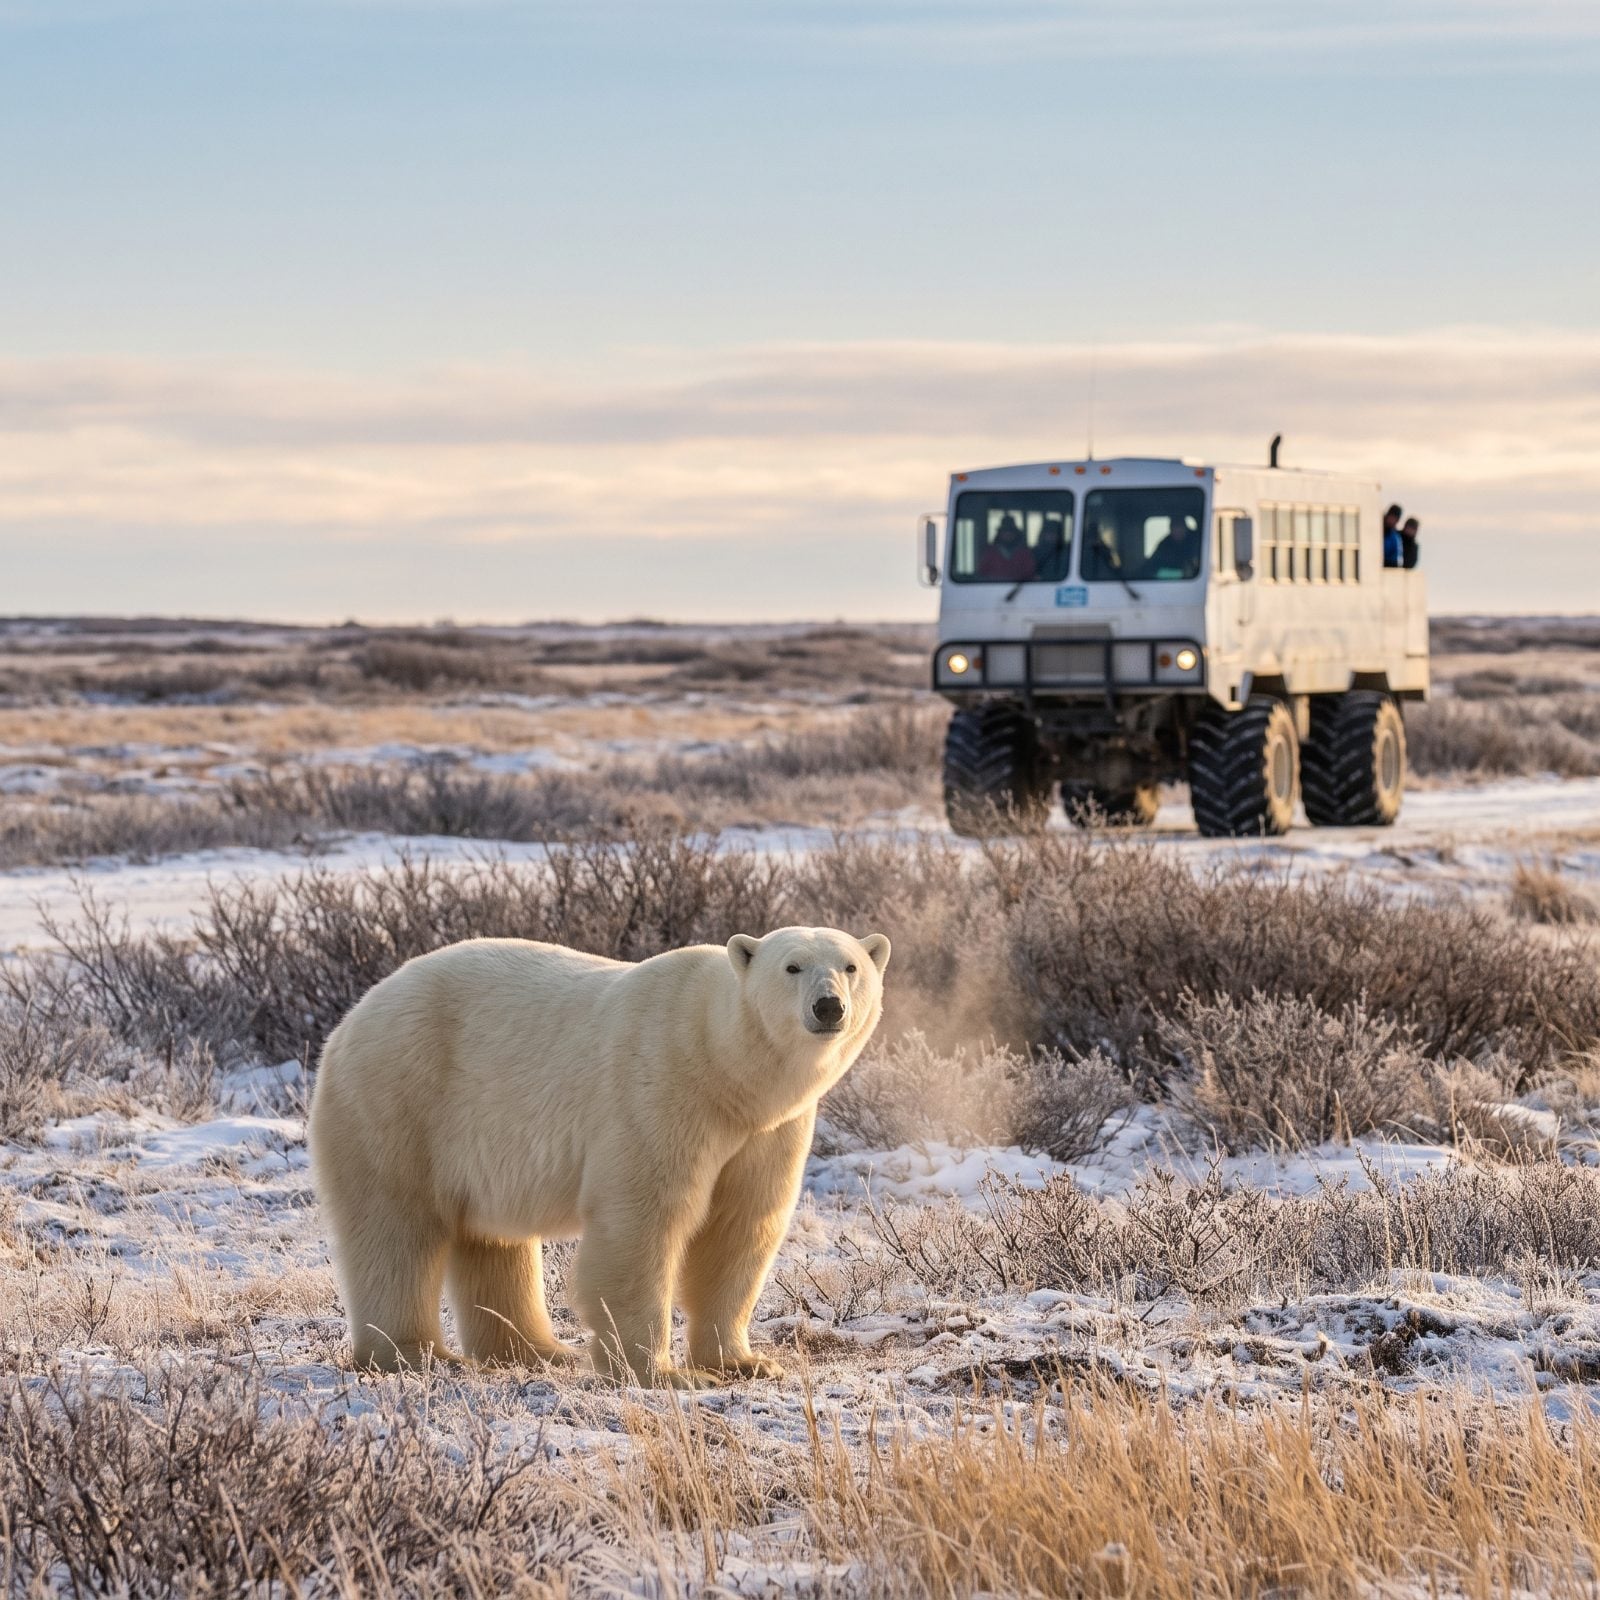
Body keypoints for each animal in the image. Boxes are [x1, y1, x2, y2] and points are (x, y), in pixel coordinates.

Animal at [307, 924, 890, 1387]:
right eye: (792, 967)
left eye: (851, 966)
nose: (828, 1006)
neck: (725, 1066)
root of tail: (350, 1019)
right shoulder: (662, 1088)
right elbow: (644, 1222)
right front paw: (660, 1373)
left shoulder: (767, 1131)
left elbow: (740, 1226)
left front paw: (744, 1363)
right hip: (402, 1099)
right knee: (395, 1227)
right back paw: (415, 1356)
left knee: (491, 1238)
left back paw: (536, 1350)